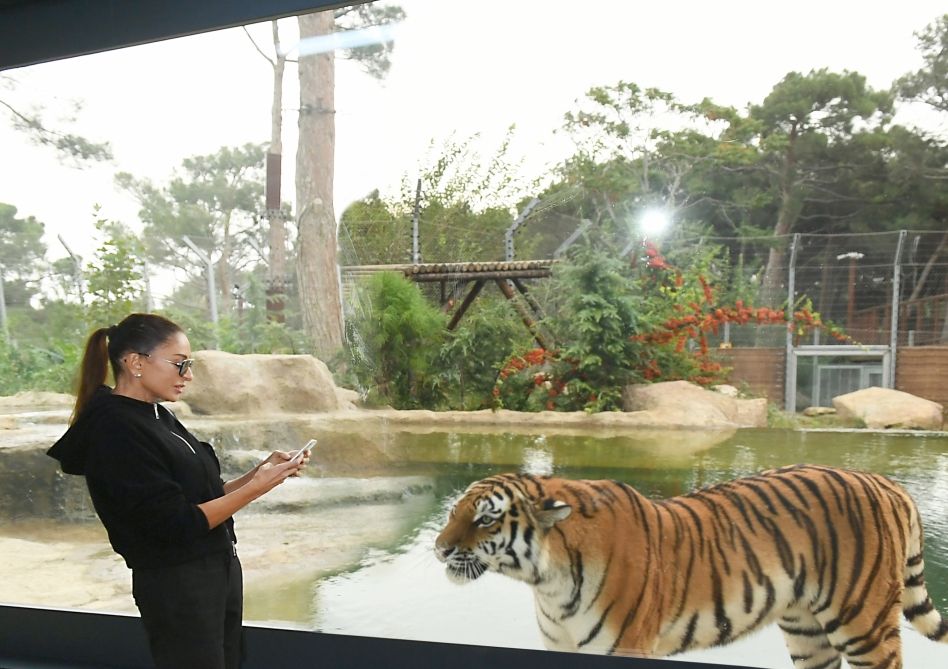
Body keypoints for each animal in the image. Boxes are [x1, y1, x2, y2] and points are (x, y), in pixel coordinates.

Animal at [432, 464, 948, 668]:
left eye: (485, 519)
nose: (438, 548)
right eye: (456, 510)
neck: (548, 583)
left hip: (865, 626)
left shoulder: (628, 648)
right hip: (808, 634)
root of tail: (887, 482)